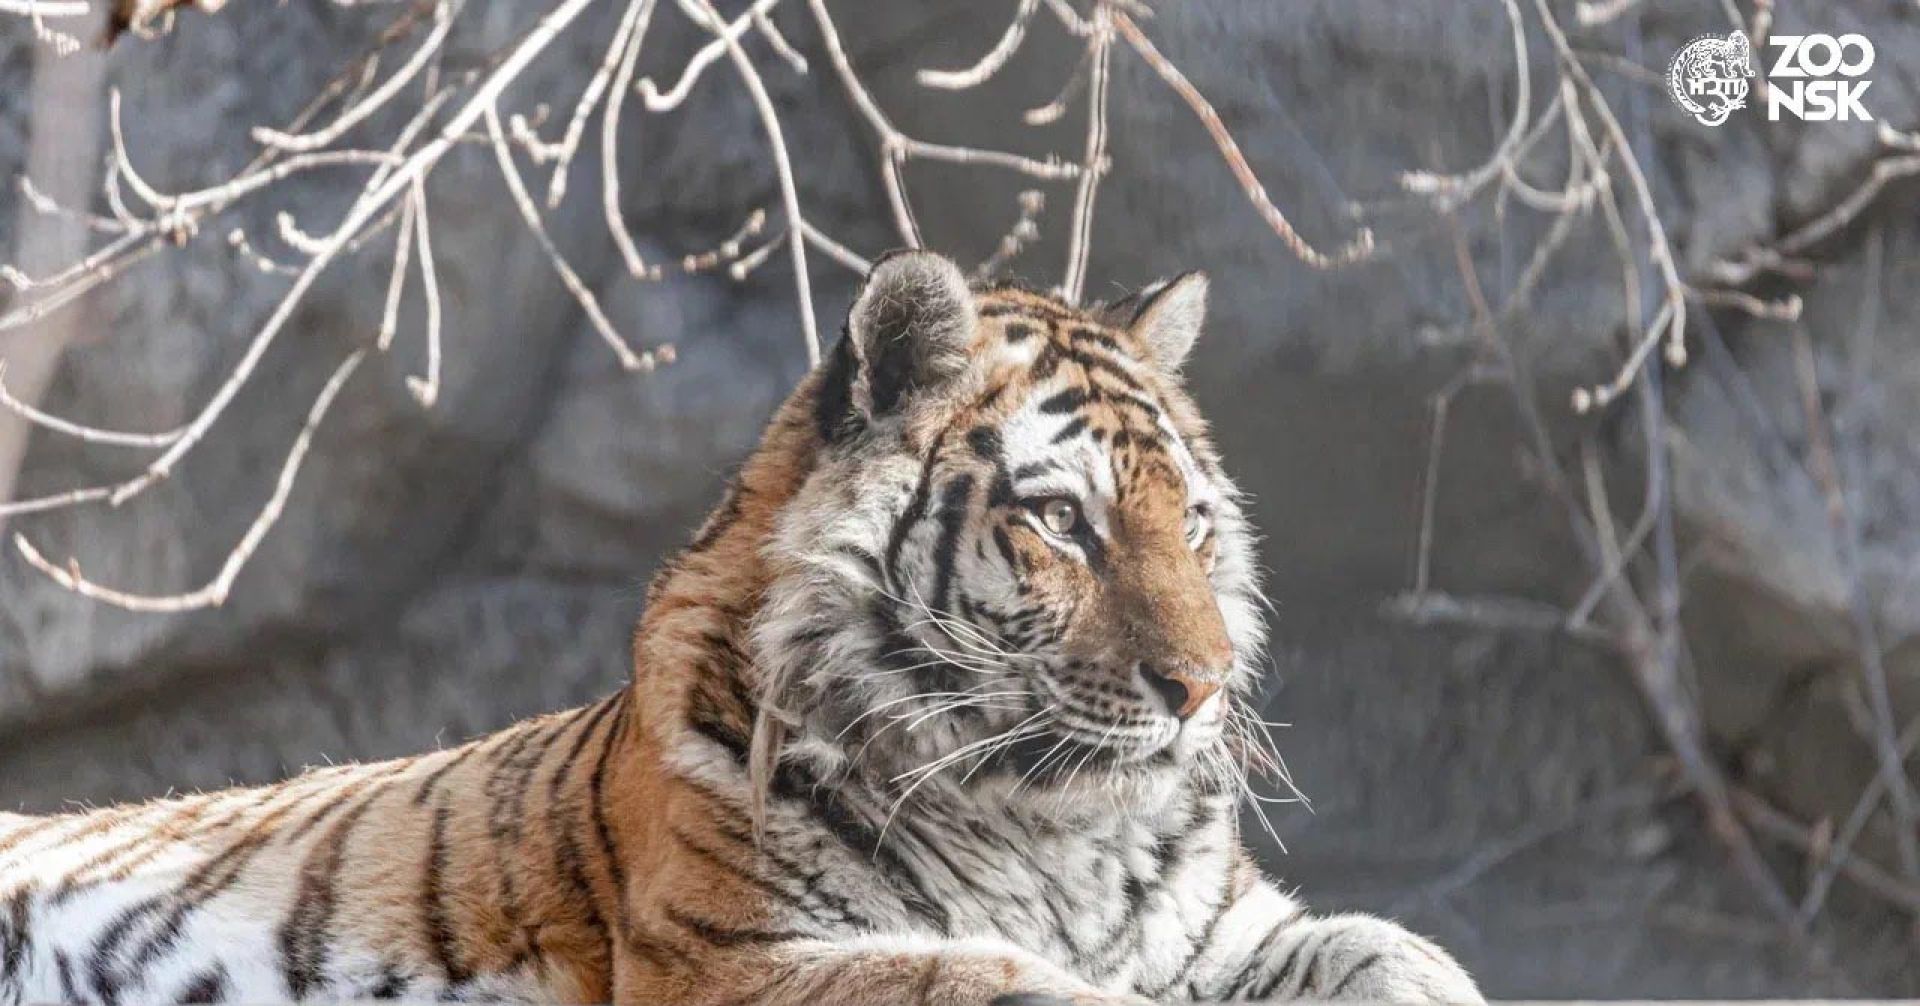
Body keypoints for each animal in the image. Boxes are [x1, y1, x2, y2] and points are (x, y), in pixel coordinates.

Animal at [0, 251, 1483, 1005]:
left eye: (1194, 520)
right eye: (1063, 521)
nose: (1205, 687)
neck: (1048, 825)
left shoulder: (1217, 931)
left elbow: (1395, 948)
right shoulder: (740, 957)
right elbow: (992, 978)